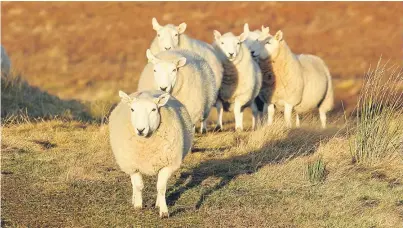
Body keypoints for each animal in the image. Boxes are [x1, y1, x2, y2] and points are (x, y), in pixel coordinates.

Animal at [109, 90, 194, 218]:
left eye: (154, 109)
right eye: (132, 109)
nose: (140, 130)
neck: (146, 142)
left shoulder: (167, 165)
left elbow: (161, 187)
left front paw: (163, 211)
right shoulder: (133, 165)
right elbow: (138, 186)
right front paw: (138, 206)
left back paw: (158, 203)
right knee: (134, 184)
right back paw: (134, 199)